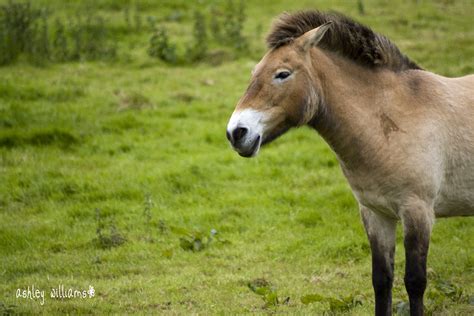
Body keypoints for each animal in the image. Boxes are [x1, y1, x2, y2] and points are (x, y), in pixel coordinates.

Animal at [226, 10, 474, 316]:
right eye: (254, 73)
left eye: (282, 74)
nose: (236, 133)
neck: (390, 121)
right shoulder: (375, 213)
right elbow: (382, 280)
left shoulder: (418, 212)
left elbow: (415, 281)